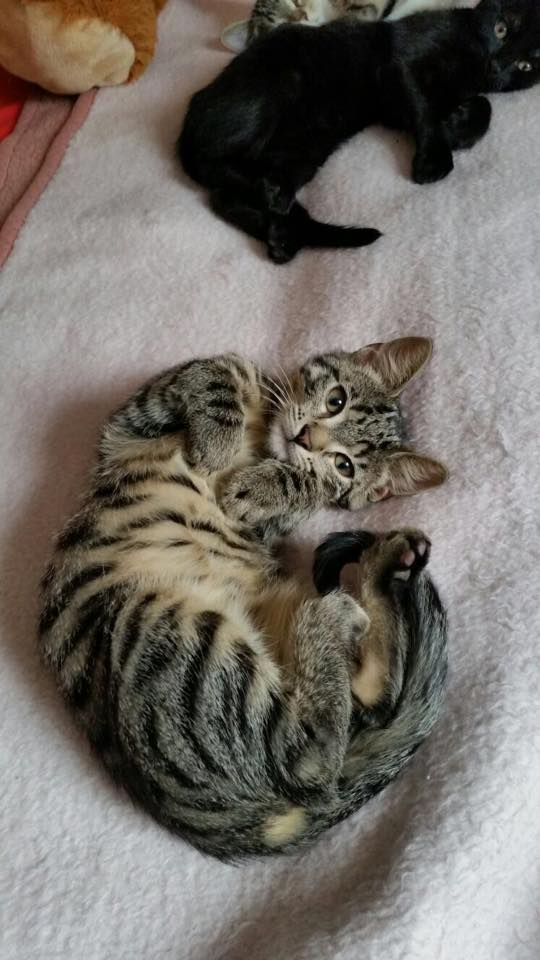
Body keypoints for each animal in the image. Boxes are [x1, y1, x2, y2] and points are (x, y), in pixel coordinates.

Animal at [39, 337, 448, 860]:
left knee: (316, 760)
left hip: (170, 633)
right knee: (370, 702)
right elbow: (221, 372)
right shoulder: (129, 425)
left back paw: (337, 607)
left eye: (345, 465)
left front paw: (262, 482)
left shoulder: (266, 526)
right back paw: (384, 565)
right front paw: (216, 443)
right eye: (335, 400)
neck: (261, 437)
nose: (306, 439)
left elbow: (301, 488)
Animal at [180, 0, 540, 263]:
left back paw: (282, 231)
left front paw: (457, 127)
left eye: (526, 64)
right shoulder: (403, 65)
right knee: (215, 165)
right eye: (501, 29)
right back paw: (272, 195)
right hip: (273, 94)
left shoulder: (400, 108)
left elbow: (483, 107)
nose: (496, 64)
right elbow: (426, 108)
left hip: (309, 145)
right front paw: (435, 160)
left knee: (224, 198)